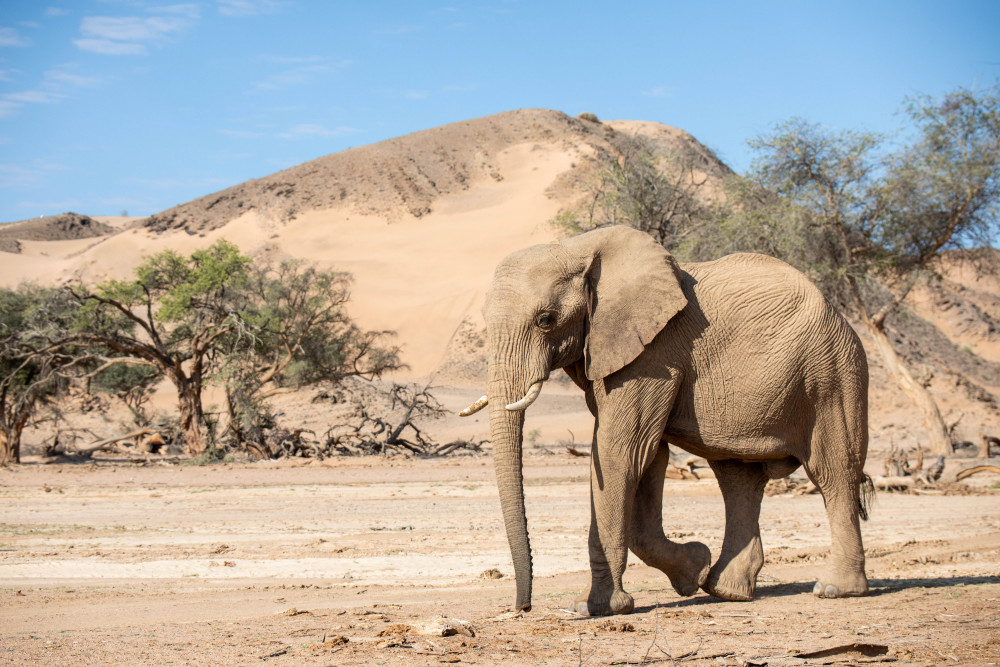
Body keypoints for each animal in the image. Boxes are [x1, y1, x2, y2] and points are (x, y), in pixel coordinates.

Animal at [458, 223, 872, 616]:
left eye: (546, 320)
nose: (523, 607)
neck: (580, 248)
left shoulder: (654, 354)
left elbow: (622, 451)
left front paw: (597, 609)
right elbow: (648, 456)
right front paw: (693, 569)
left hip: (832, 373)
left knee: (833, 471)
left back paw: (835, 590)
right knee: (739, 478)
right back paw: (725, 590)